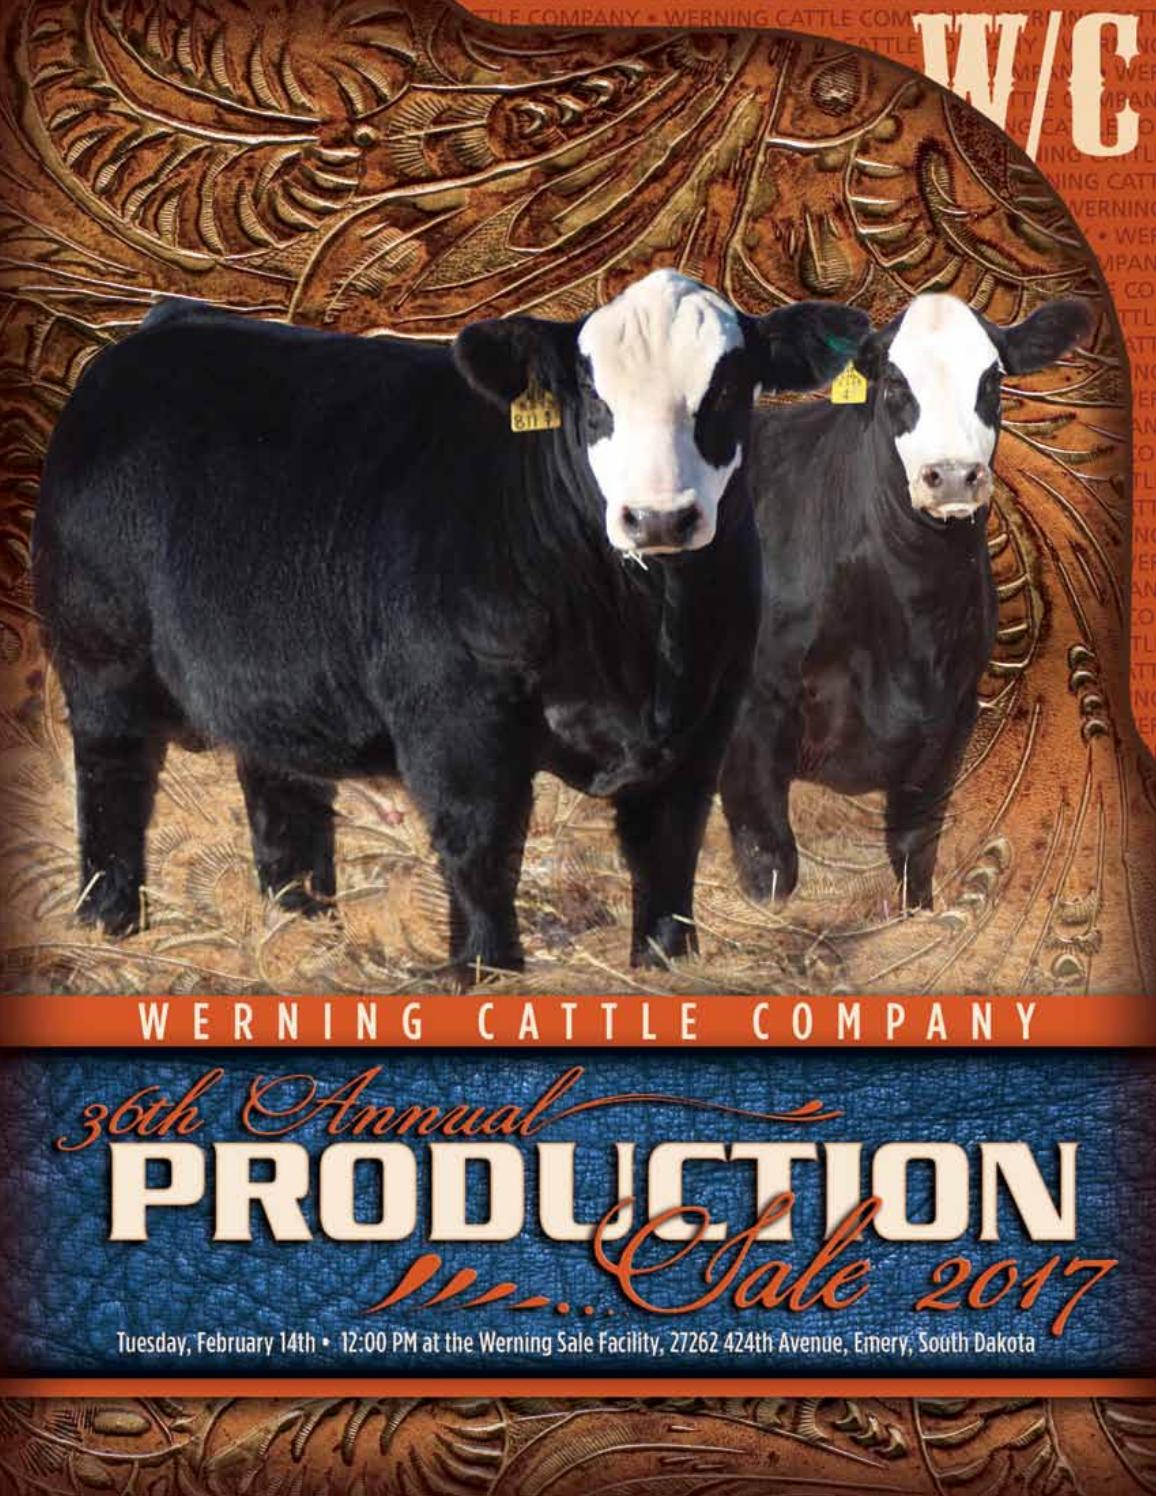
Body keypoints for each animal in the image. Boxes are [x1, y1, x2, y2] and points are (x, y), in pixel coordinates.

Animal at [32, 269, 868, 982]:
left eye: (727, 390)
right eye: (592, 400)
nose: (659, 517)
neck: (643, 638)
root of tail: (166, 324)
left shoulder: (704, 712)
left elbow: (667, 849)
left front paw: (663, 966)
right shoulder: (455, 711)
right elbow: (480, 840)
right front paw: (486, 970)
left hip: (271, 684)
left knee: (285, 805)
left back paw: (303, 935)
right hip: (100, 657)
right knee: (113, 782)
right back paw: (110, 924)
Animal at [720, 292, 1093, 914]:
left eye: (992, 379)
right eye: (895, 381)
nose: (953, 476)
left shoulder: (952, 718)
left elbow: (915, 853)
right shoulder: (752, 719)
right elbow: (771, 864)